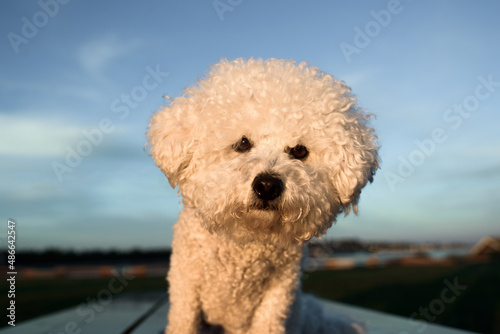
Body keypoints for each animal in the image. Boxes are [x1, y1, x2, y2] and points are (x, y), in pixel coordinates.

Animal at [147, 58, 378, 332]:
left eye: (299, 151)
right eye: (243, 143)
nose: (268, 185)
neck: (248, 241)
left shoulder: (280, 291)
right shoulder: (186, 284)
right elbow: (184, 321)